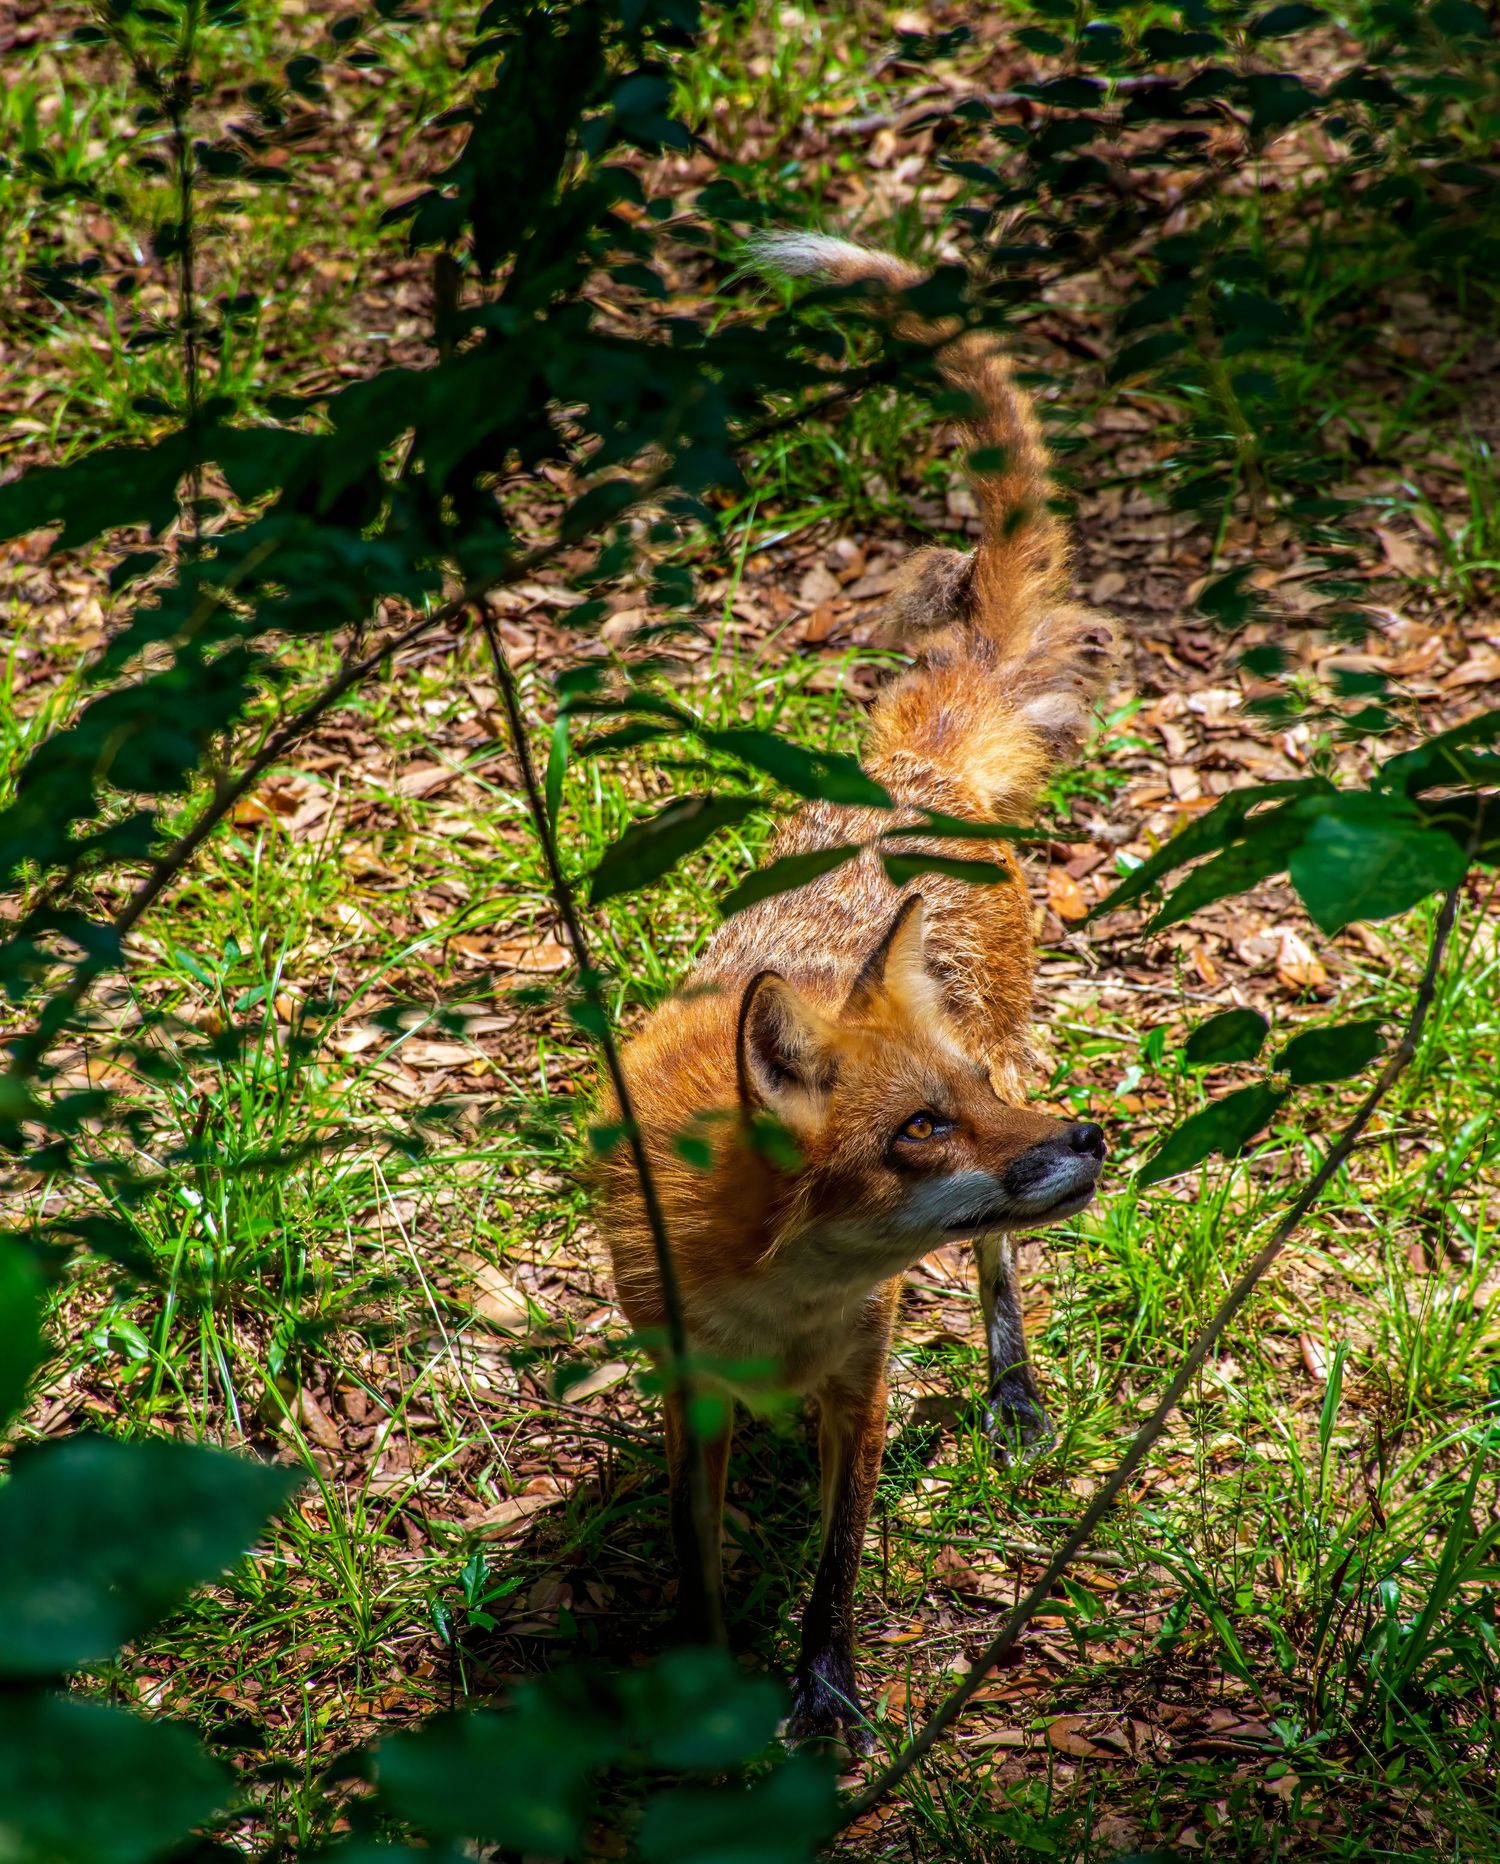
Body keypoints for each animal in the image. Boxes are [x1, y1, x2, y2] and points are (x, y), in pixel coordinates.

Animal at [594, 234, 1119, 1748]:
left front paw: (823, 1697)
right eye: (918, 1133)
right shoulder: (689, 1396)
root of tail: (912, 768)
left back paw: (1014, 1389)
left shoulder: (865, 1382)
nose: (1088, 1137)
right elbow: (696, 1565)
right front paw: (700, 1695)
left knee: (1000, 1269)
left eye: (958, 1107)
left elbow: (835, 1565)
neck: (779, 1298)